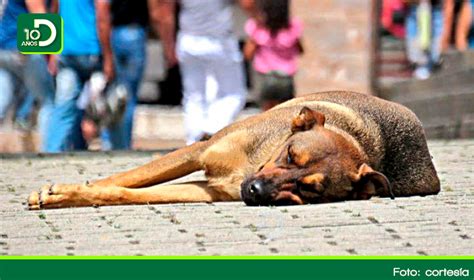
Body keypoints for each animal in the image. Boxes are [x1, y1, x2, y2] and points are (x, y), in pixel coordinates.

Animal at [26, 91, 440, 209]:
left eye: (309, 188)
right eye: (291, 155)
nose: (255, 191)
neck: (254, 163)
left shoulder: (210, 190)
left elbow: (123, 192)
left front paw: (68, 195)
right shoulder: (199, 151)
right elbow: (126, 177)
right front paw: (62, 191)